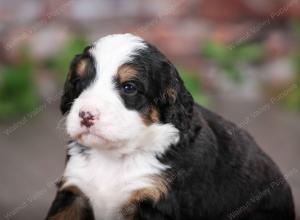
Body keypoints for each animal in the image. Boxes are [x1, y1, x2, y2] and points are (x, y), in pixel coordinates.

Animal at [47, 33, 296, 219]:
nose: (86, 115)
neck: (116, 157)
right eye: (79, 82)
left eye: (129, 87)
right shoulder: (74, 193)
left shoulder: (155, 204)